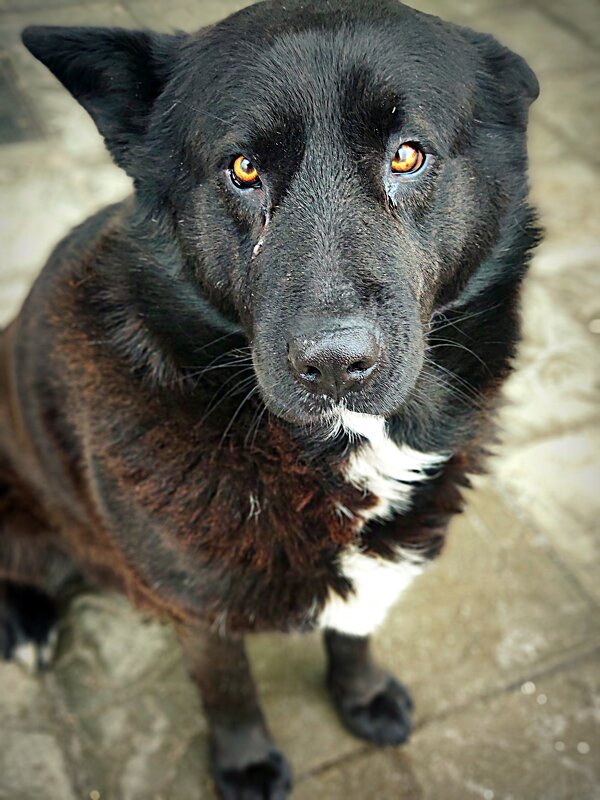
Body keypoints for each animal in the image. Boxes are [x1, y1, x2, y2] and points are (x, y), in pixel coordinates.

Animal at [0, 3, 540, 796]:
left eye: (408, 155)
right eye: (244, 169)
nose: (335, 365)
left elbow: (354, 631)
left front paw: (361, 695)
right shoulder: (199, 606)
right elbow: (229, 690)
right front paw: (246, 761)